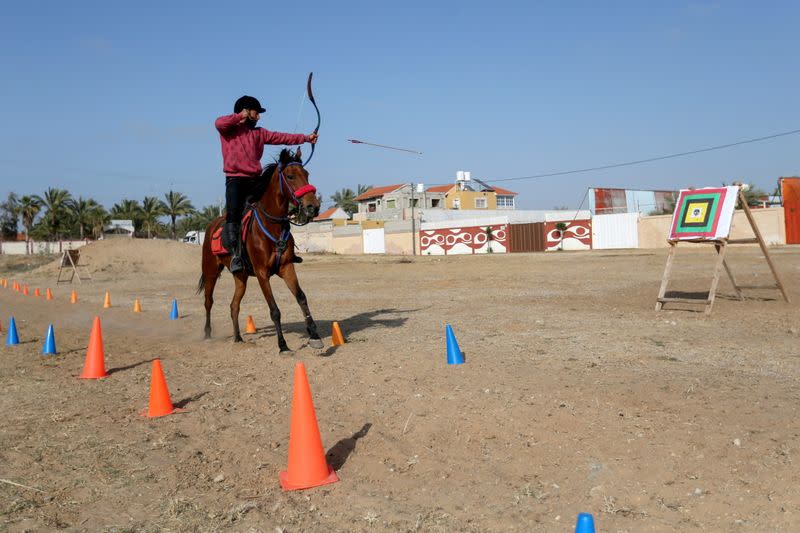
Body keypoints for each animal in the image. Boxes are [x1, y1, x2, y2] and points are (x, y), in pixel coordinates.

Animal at [198, 148, 324, 352]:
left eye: (306, 174)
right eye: (290, 176)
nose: (313, 206)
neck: (271, 226)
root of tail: (211, 226)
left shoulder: (286, 268)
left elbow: (301, 297)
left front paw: (314, 336)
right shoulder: (262, 273)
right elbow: (274, 310)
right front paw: (283, 346)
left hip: (240, 277)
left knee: (234, 306)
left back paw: (238, 338)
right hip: (210, 271)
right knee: (208, 302)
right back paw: (208, 334)